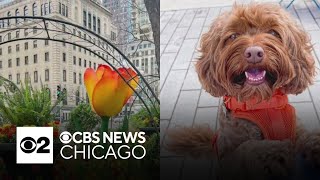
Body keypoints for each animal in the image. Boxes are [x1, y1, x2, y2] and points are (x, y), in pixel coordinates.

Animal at [166, 3, 320, 180]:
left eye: (273, 32)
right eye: (233, 36)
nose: (254, 53)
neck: (259, 102)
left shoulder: (295, 128)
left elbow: (308, 137)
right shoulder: (226, 160)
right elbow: (248, 146)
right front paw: (273, 148)